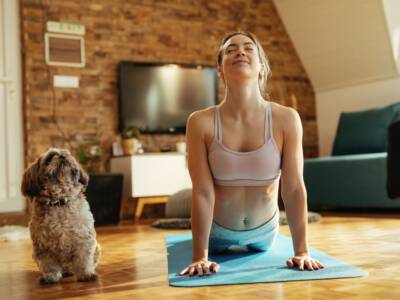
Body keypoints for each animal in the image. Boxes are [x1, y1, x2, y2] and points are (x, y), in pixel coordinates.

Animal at [21, 148, 101, 284]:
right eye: (50, 158)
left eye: (68, 154)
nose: (62, 156)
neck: (59, 201)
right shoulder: (42, 246)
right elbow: (49, 264)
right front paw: (51, 276)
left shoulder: (83, 239)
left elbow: (83, 259)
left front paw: (86, 274)